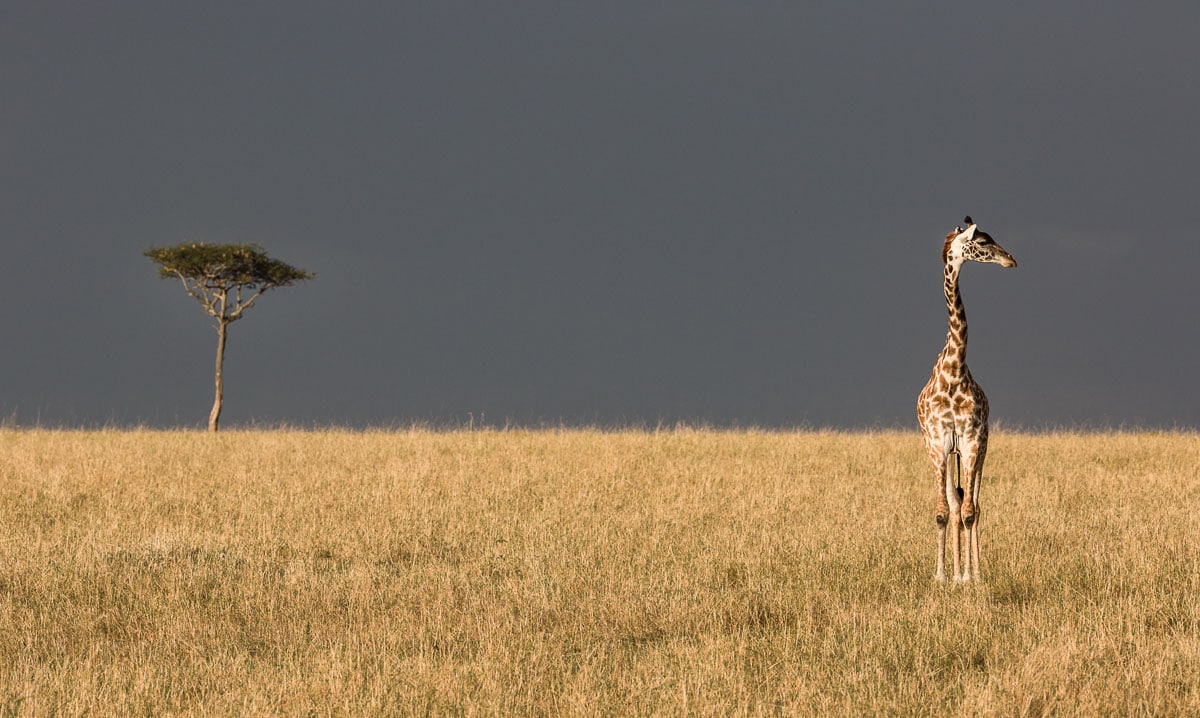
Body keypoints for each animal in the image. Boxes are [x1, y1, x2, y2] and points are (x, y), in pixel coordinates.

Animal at [917, 216, 1016, 583]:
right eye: (983, 242)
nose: (1010, 260)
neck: (954, 368)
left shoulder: (972, 439)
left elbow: (971, 511)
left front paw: (971, 578)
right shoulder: (938, 443)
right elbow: (943, 512)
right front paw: (943, 576)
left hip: (979, 448)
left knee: (974, 503)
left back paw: (972, 571)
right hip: (950, 454)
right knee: (956, 502)